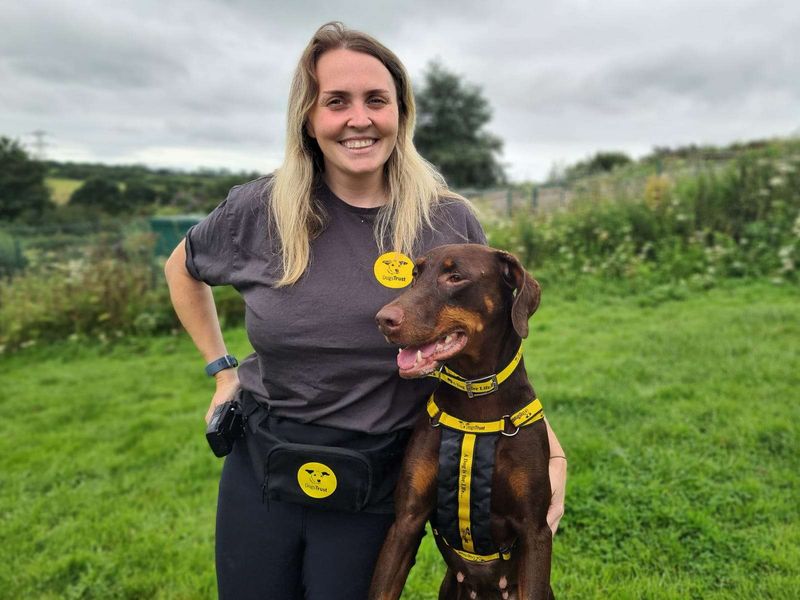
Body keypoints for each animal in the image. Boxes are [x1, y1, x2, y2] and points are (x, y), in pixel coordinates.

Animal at [370, 241, 552, 596]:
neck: (475, 402)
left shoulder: (536, 530)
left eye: (455, 277)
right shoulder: (406, 521)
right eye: (415, 274)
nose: (383, 320)